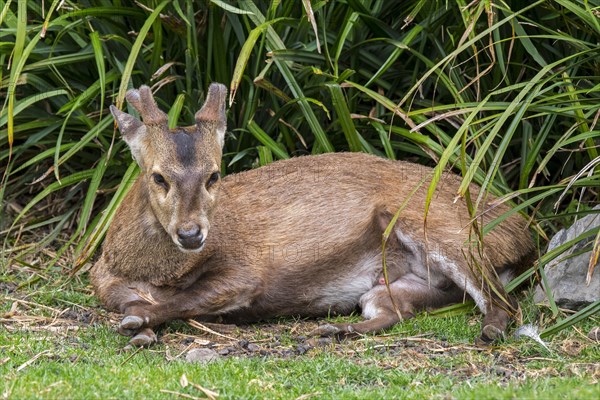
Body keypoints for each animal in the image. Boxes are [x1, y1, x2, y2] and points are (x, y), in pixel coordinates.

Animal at [90, 83, 536, 346]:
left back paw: (489, 331)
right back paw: (335, 328)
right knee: (393, 311)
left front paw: (139, 324)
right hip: (399, 283)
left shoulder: (245, 270)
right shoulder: (103, 280)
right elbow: (127, 299)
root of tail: (526, 231)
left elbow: (182, 300)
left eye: (214, 174)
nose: (190, 234)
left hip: (448, 231)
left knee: (503, 300)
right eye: (158, 176)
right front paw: (141, 327)